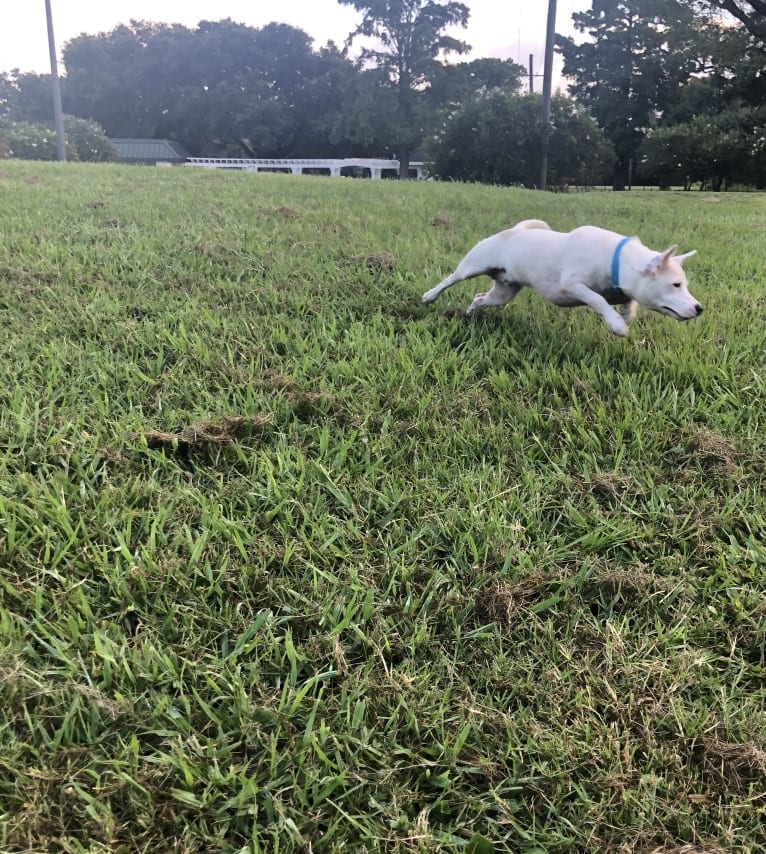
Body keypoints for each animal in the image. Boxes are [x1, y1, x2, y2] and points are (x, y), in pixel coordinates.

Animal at [424, 219, 704, 336]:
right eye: (676, 284)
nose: (699, 308)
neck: (616, 260)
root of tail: (511, 231)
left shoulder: (625, 288)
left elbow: (629, 304)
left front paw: (623, 317)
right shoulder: (572, 284)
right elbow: (598, 300)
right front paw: (616, 324)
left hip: (504, 292)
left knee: (480, 297)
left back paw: (471, 313)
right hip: (473, 265)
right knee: (451, 279)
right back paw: (430, 296)